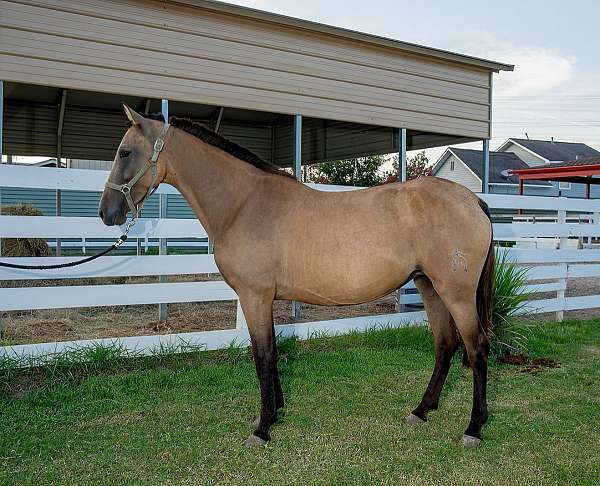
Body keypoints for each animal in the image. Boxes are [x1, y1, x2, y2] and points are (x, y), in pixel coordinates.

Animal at [98, 105, 492, 448]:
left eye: (124, 152)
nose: (106, 213)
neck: (244, 205)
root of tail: (473, 201)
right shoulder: (264, 298)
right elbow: (272, 351)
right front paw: (277, 411)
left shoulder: (254, 296)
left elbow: (262, 356)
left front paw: (262, 428)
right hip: (429, 287)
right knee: (445, 346)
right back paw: (421, 410)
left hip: (456, 293)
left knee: (476, 349)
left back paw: (473, 428)